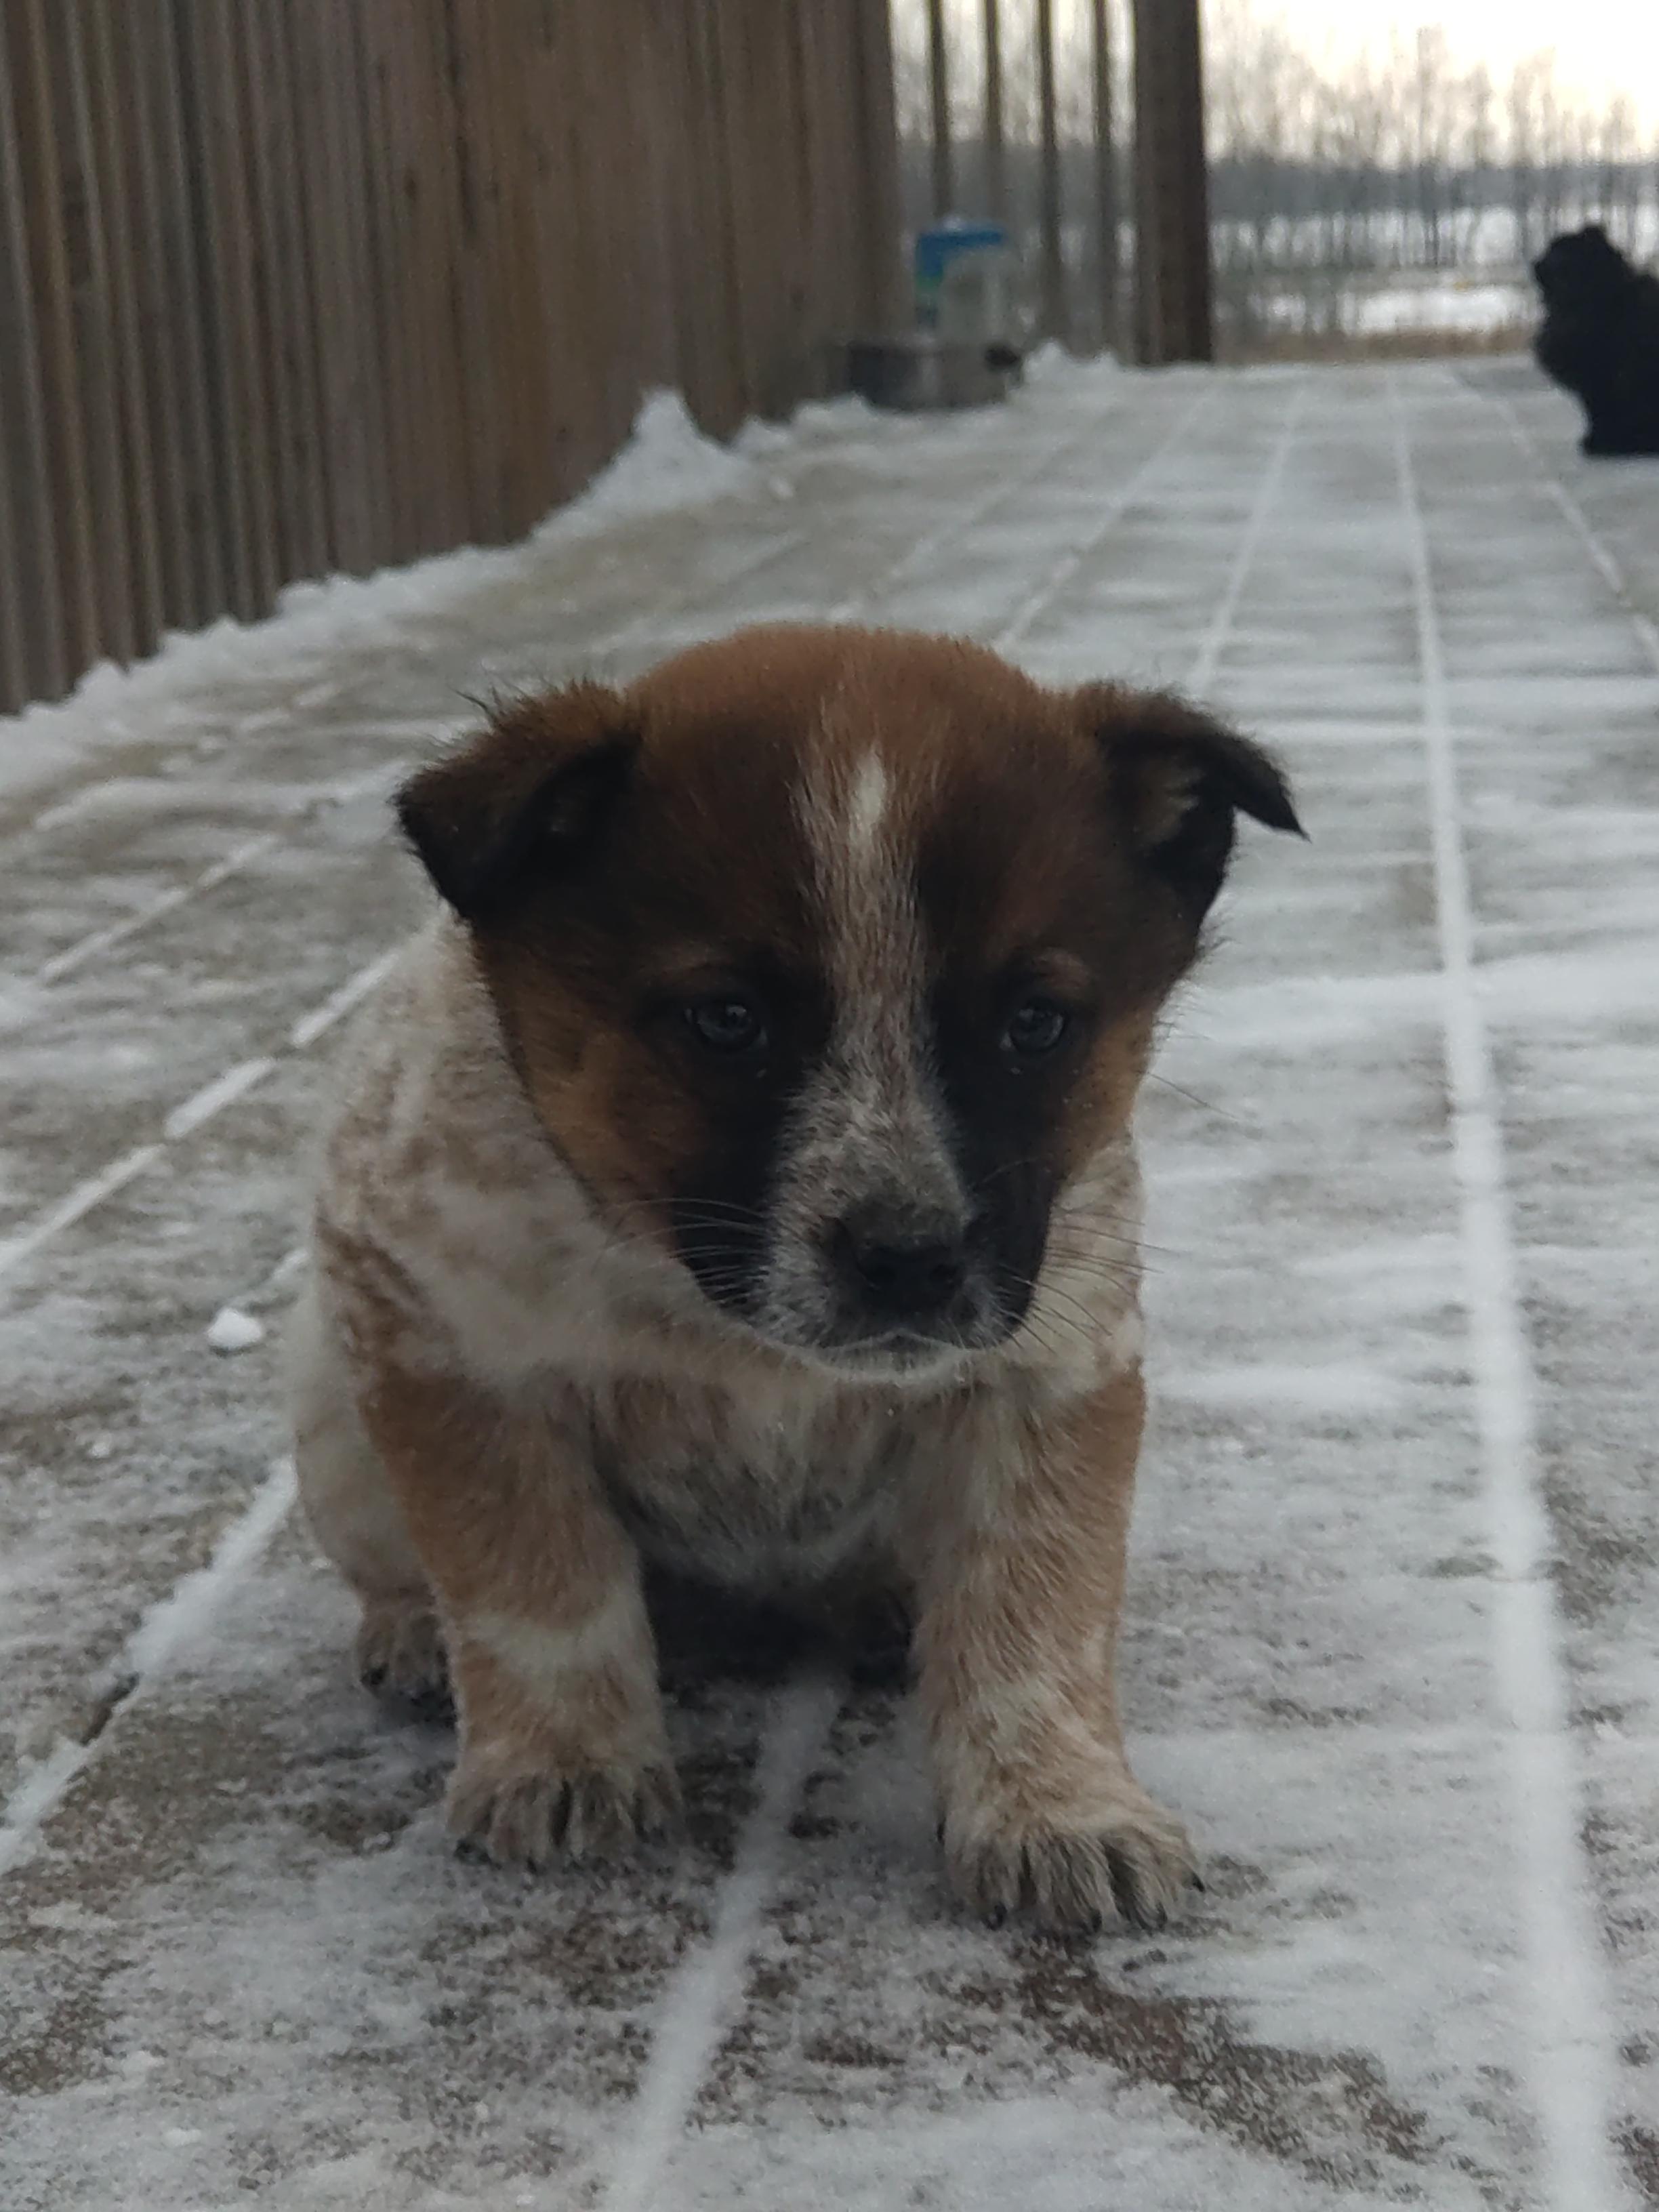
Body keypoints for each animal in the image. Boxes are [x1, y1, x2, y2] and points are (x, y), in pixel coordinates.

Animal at [303, 623, 1309, 1938]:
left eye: (1035, 1023)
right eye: (726, 1019)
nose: (909, 1259)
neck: (715, 1327)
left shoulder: (1046, 1373)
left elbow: (1035, 1615)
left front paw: (1059, 1811)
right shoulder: (452, 1351)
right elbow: (539, 1590)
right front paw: (563, 1763)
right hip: (331, 1417)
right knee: (399, 1562)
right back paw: (414, 1629)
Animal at [1530, 224, 1659, 457]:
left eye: (1556, 251)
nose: (1535, 263)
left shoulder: (1602, 374)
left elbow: (1601, 412)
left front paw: (1601, 443)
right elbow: (1593, 413)